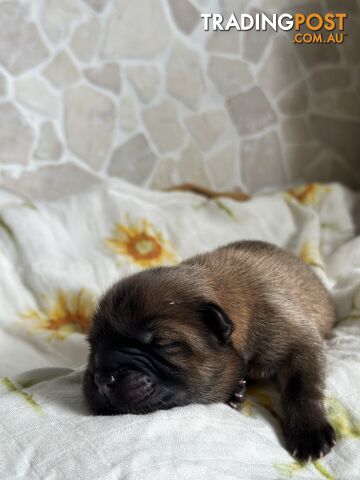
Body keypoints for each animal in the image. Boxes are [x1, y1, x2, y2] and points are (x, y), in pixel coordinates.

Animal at [83, 242, 336, 464]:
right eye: (92, 346)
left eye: (163, 343)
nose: (102, 379)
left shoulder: (297, 340)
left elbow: (301, 386)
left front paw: (309, 431)